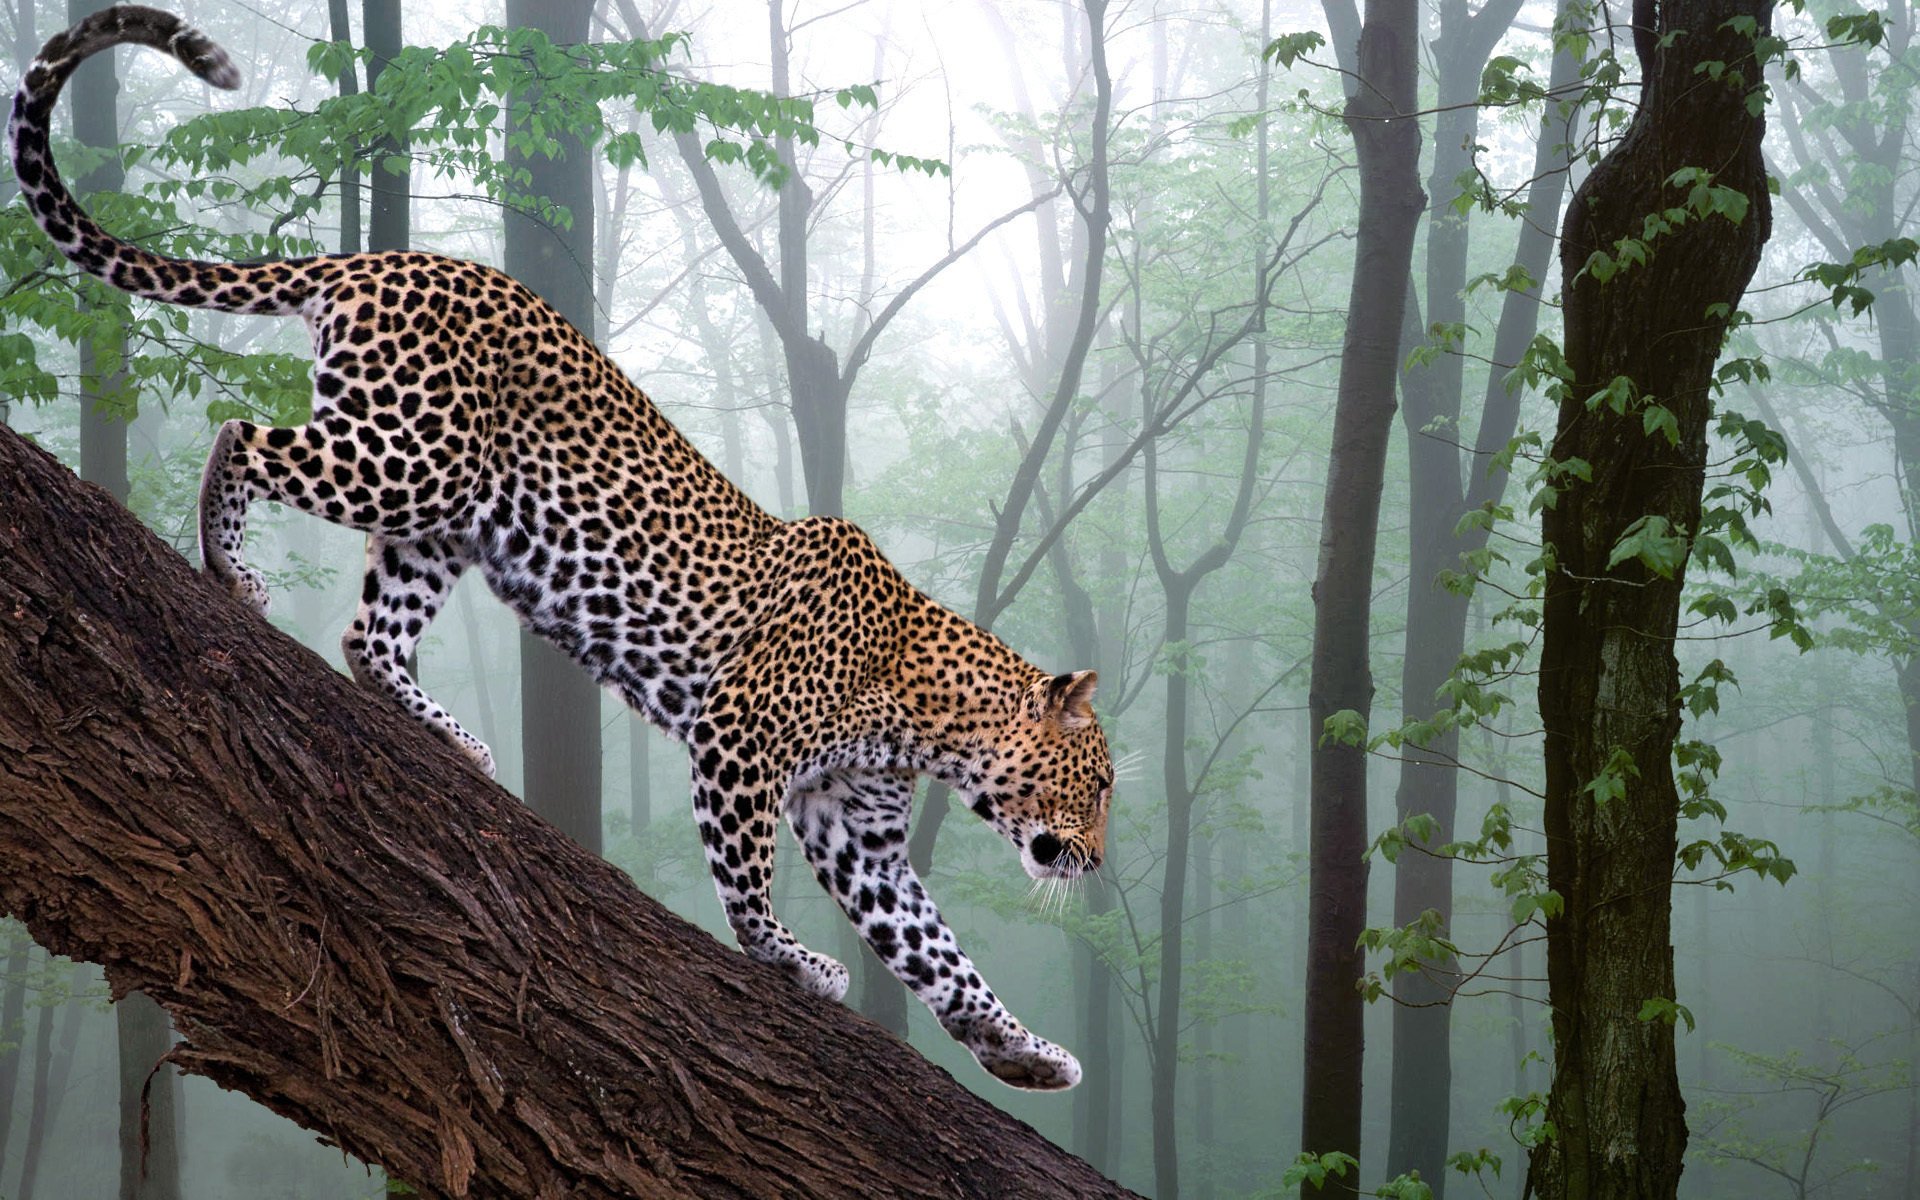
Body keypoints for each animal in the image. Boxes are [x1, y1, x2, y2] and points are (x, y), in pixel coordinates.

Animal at [11, 5, 1117, 1090]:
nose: (1097, 863)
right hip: (410, 457)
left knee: (371, 636)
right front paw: (788, 959)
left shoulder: (862, 833)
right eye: (1100, 785)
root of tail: (387, 259)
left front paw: (1020, 1051)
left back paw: (450, 737)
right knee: (242, 434)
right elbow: (747, 875)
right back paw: (231, 568)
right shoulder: (740, 738)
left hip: (444, 521)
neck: (930, 716)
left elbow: (937, 951)